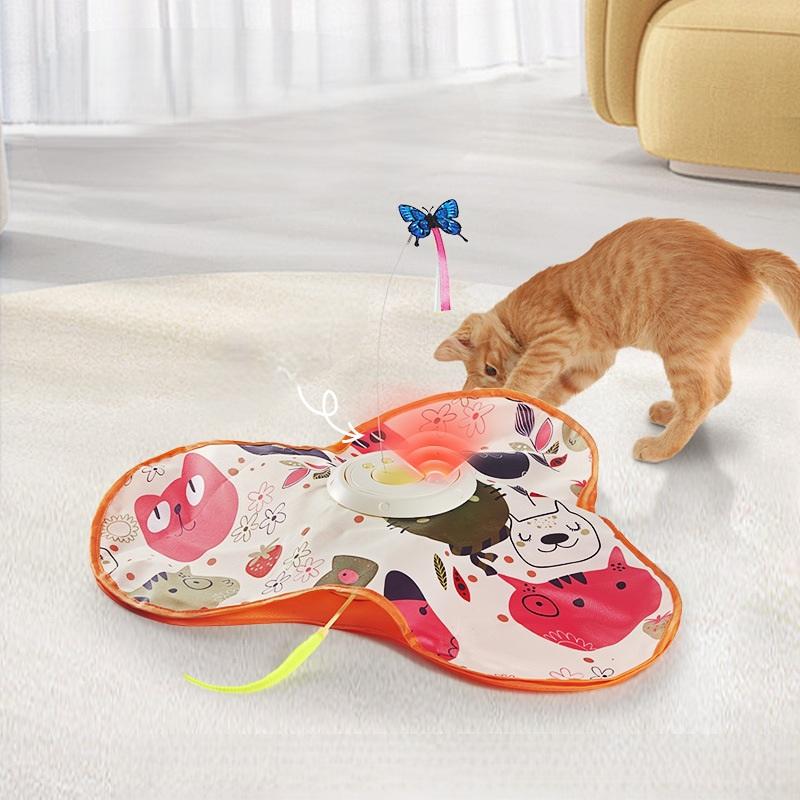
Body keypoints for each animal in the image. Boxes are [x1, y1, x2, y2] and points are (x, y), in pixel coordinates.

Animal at [434, 218, 800, 462]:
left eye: (491, 371)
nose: (496, 380)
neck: (514, 316)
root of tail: (740, 254)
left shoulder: (555, 338)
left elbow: (526, 378)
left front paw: (509, 401)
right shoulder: (592, 362)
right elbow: (554, 392)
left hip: (681, 346)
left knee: (700, 398)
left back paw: (660, 448)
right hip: (706, 348)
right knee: (717, 390)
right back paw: (669, 414)